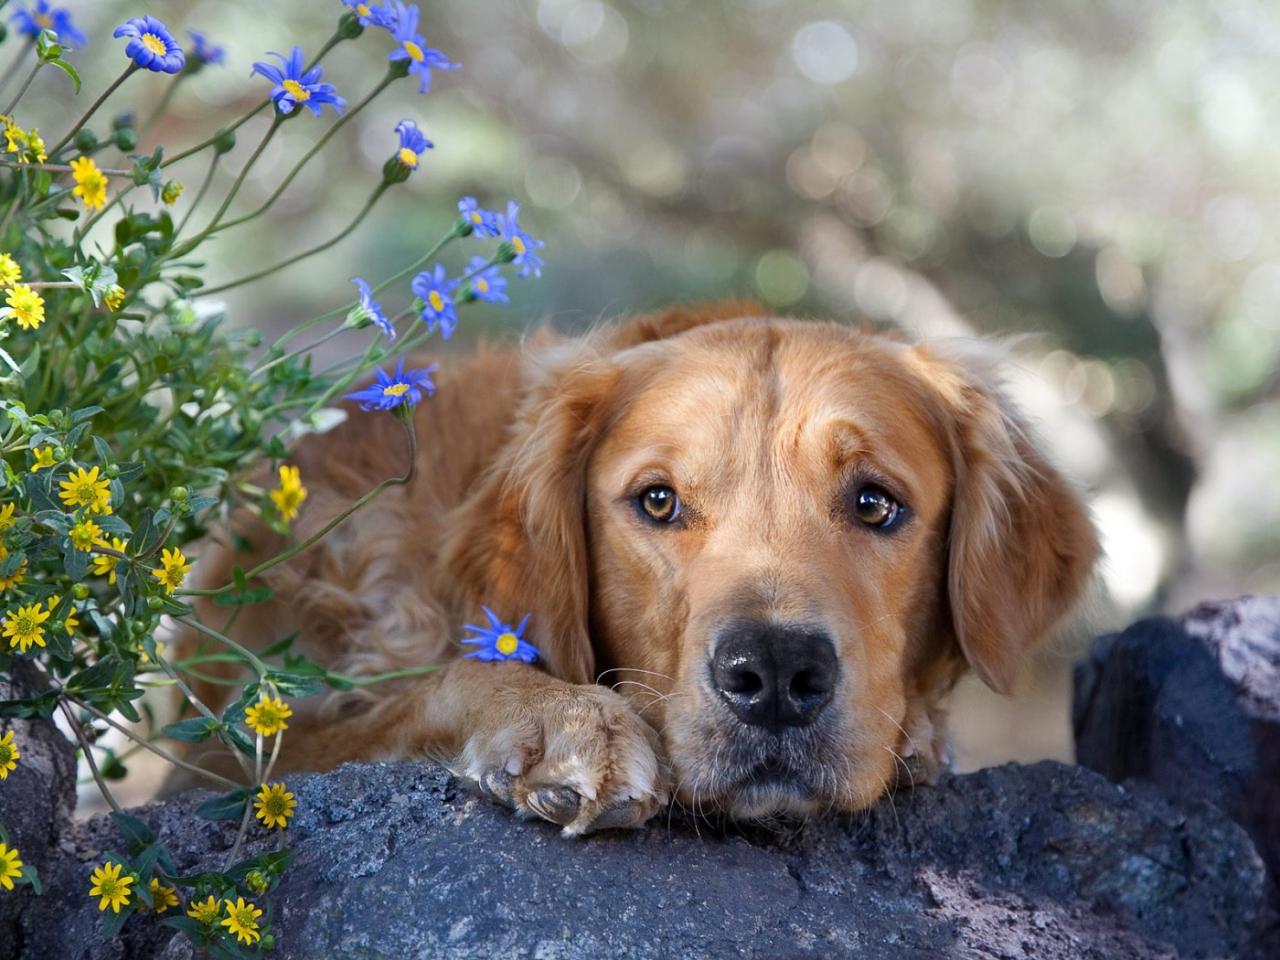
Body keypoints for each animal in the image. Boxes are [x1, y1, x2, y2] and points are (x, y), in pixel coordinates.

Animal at [170, 304, 1100, 839]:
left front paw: (916, 738)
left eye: (875, 504)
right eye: (657, 501)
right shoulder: (232, 757)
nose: (773, 674)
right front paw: (563, 720)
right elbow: (435, 684)